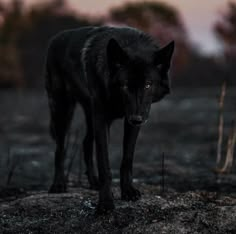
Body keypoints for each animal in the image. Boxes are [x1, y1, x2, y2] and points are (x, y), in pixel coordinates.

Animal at [45, 25, 174, 212]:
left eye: (148, 85)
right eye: (125, 85)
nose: (137, 118)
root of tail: (54, 39)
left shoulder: (130, 122)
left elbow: (127, 159)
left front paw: (128, 191)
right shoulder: (102, 119)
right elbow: (104, 162)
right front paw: (106, 202)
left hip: (90, 115)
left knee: (85, 143)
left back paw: (93, 182)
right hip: (63, 111)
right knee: (60, 149)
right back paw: (58, 184)